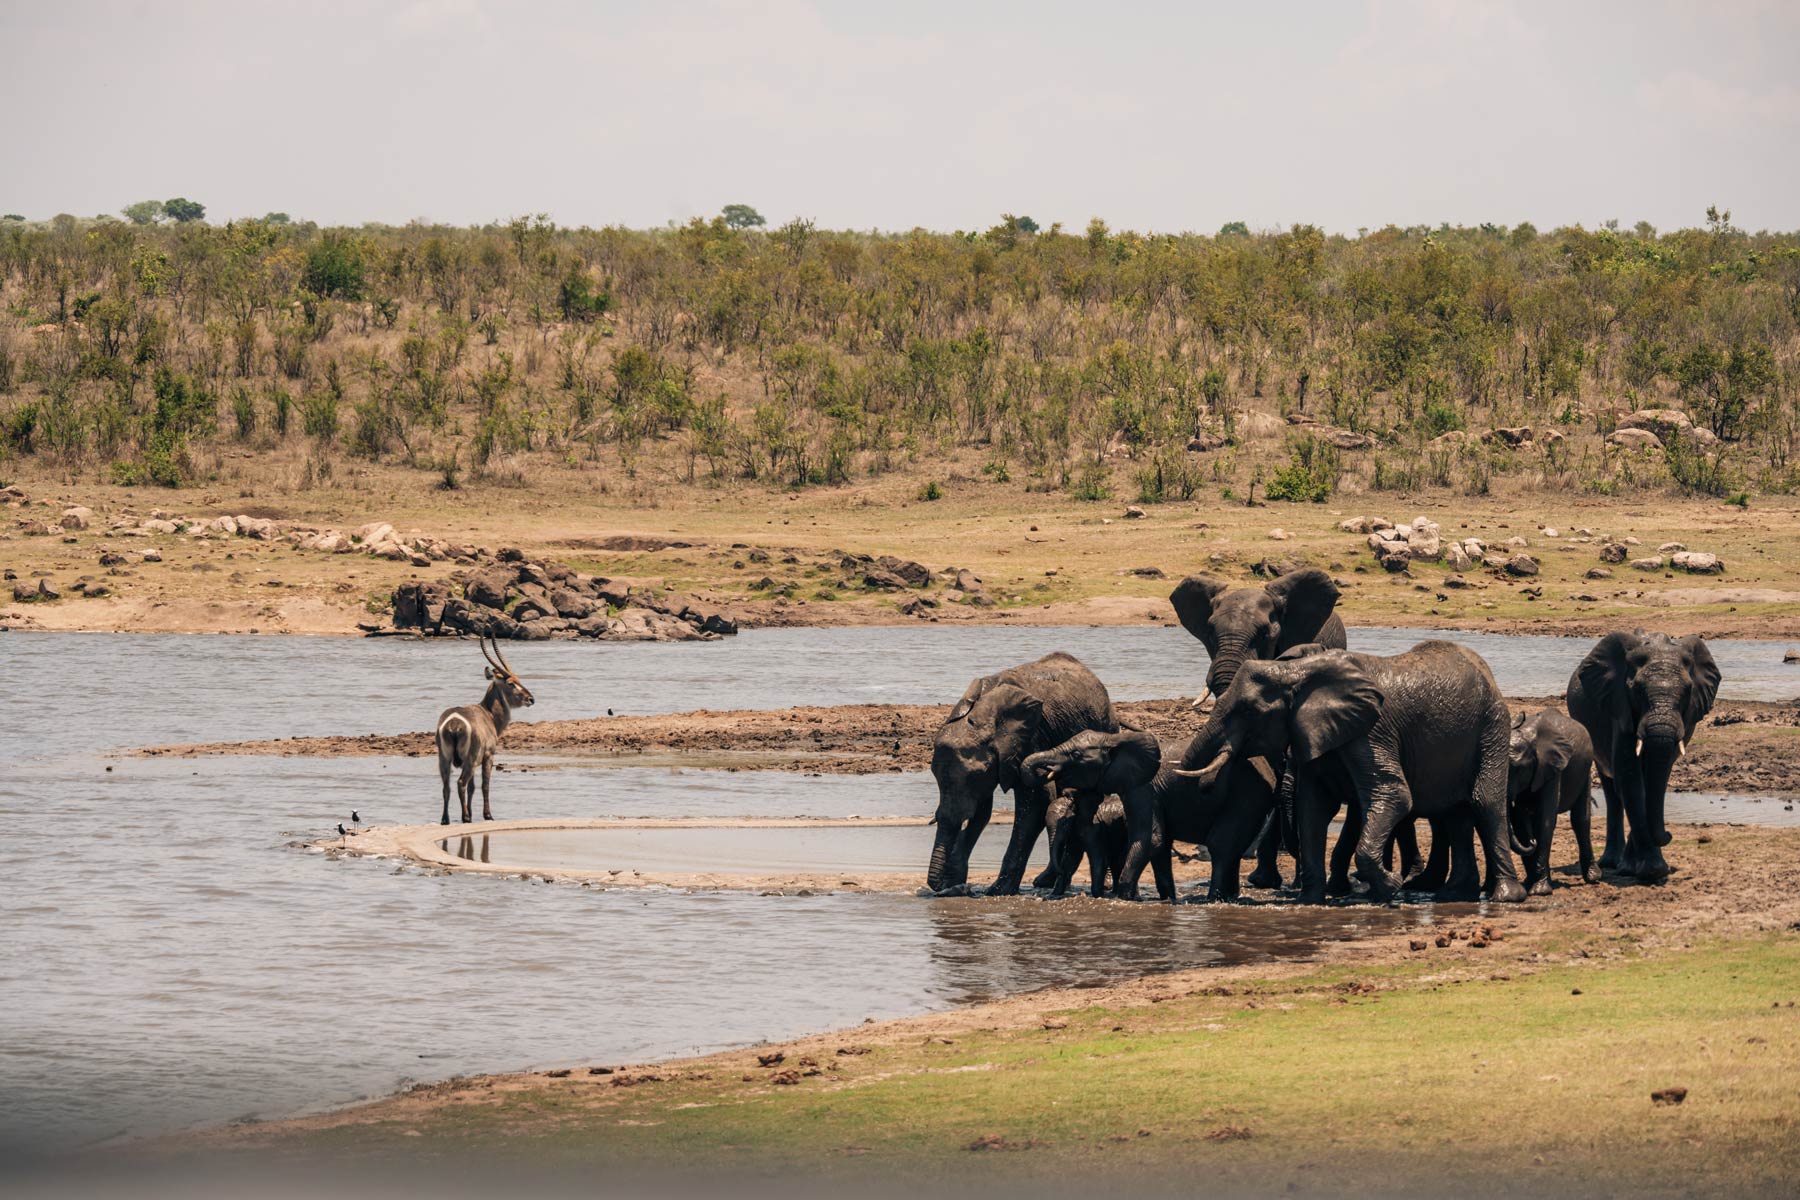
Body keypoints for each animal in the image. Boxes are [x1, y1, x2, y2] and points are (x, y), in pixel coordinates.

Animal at [927, 652, 1116, 896]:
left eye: (977, 774)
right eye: (934, 774)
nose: (944, 887)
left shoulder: (1032, 737)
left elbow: (1037, 801)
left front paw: (997, 891)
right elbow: (981, 810)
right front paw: (955, 882)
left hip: (1106, 727)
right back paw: (1045, 881)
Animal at [1023, 727, 1162, 897]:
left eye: (1076, 754)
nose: (1048, 770)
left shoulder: (1092, 828)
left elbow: (1096, 857)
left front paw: (1097, 895)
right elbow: (1072, 858)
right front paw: (1055, 894)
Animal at [1173, 641, 1525, 905]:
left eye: (1248, 711)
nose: (1206, 788)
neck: (1299, 672)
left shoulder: (1372, 730)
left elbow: (1393, 794)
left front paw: (1390, 886)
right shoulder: (1314, 731)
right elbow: (1313, 806)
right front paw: (1310, 900)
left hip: (1492, 723)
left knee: (1483, 802)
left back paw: (1505, 897)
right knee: (1455, 813)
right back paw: (1454, 894)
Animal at [1507, 708, 1600, 894]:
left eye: (1517, 768)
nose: (1532, 841)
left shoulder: (1553, 768)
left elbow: (1545, 820)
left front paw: (1539, 891)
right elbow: (1520, 822)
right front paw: (1531, 885)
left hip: (1585, 769)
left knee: (1580, 820)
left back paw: (1593, 878)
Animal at [1565, 631, 1720, 883]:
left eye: (1687, 691)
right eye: (1637, 691)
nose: (1669, 834)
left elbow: (1654, 780)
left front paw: (1639, 869)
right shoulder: (1620, 708)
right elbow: (1630, 778)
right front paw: (1650, 871)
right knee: (1612, 789)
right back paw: (1611, 862)